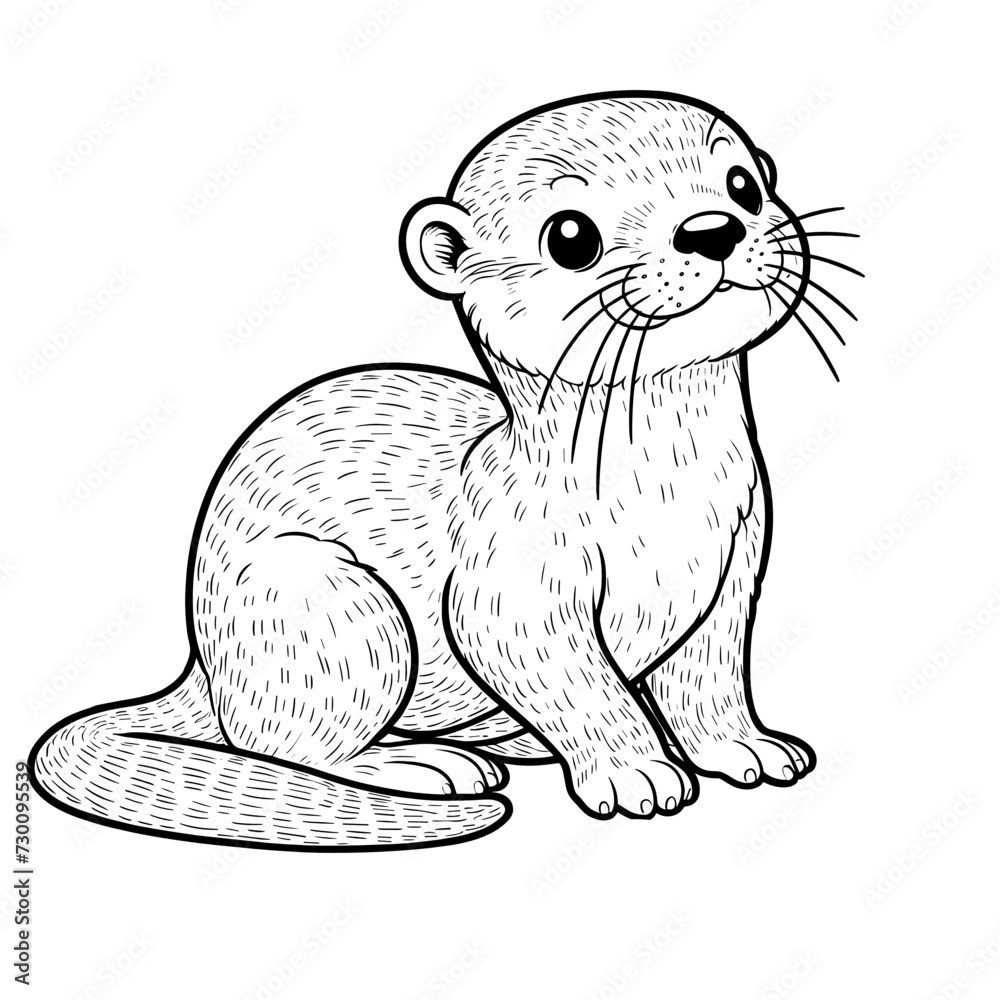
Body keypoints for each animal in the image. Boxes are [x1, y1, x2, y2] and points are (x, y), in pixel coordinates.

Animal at [30, 92, 856, 850]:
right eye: (571, 236)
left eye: (742, 184)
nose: (713, 229)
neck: (665, 495)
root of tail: (200, 664)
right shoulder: (513, 578)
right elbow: (568, 677)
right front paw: (635, 772)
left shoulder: (736, 558)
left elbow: (710, 678)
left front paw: (742, 747)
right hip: (321, 602)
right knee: (283, 743)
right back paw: (426, 766)